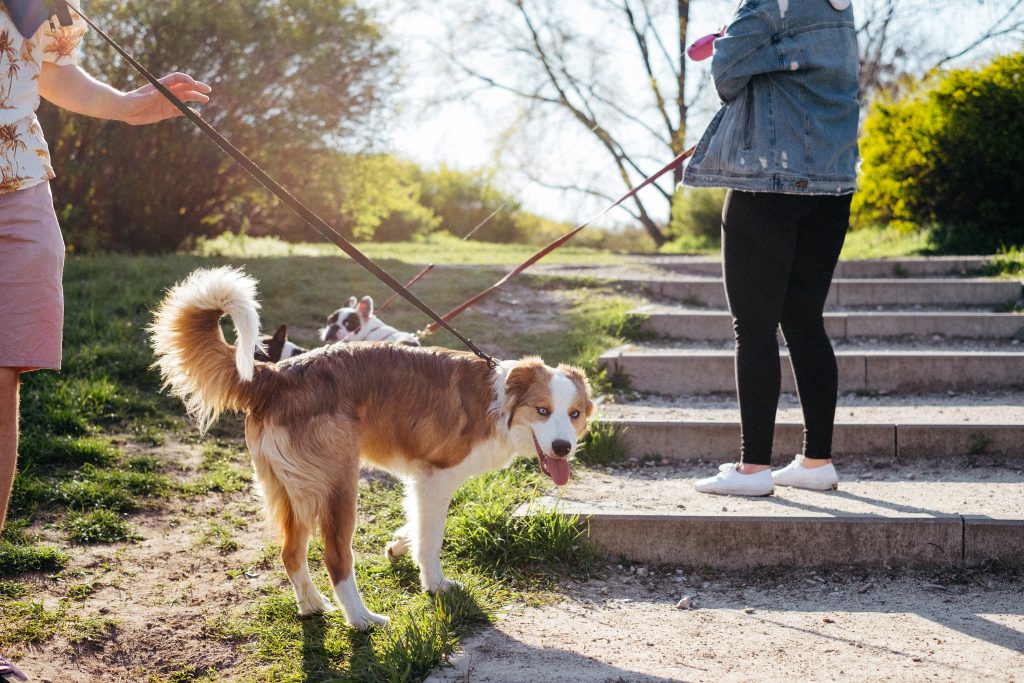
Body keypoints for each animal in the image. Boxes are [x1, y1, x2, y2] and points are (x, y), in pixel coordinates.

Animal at [149, 266, 598, 630]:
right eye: (543, 410)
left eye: (574, 414)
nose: (563, 448)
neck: (500, 401)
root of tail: (276, 375)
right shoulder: (434, 476)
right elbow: (430, 538)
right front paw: (435, 585)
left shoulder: (422, 480)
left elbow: (417, 525)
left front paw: (398, 545)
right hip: (338, 486)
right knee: (335, 558)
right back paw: (361, 619)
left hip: (293, 491)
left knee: (290, 552)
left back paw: (312, 606)